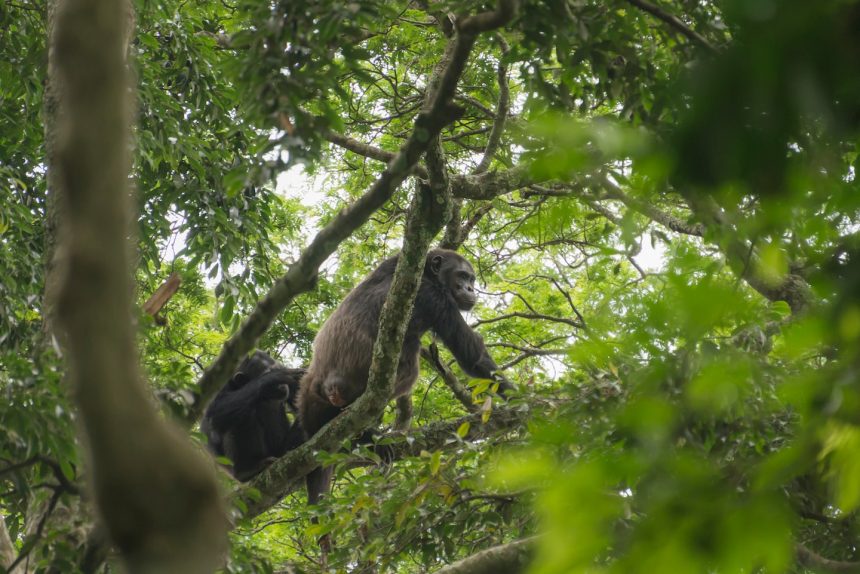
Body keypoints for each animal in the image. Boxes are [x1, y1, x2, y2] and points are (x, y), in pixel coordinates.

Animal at [202, 352, 306, 482]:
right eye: (266, 372)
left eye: (276, 365)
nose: (282, 385)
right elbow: (214, 413)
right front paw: (273, 377)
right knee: (244, 414)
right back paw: (248, 469)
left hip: (281, 451)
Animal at [298, 250, 510, 506]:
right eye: (462, 276)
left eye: (471, 279)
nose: (470, 288)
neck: (427, 274)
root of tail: (317, 384)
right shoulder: (433, 297)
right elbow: (471, 352)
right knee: (409, 368)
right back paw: (368, 434)